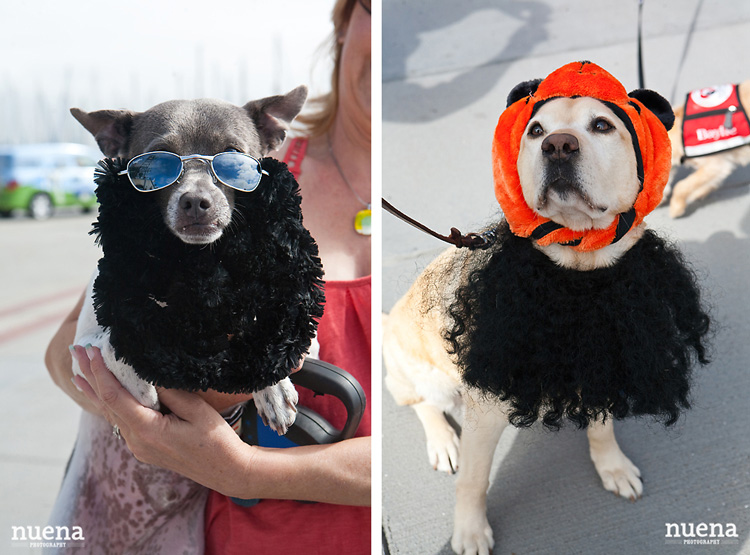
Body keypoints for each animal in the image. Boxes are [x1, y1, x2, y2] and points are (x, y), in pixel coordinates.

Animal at [384, 62, 712, 555]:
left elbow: (602, 428)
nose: (557, 145)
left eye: (603, 125)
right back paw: (442, 442)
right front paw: (469, 530)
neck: (578, 277)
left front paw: (612, 466)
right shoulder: (485, 414)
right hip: (425, 375)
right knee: (418, 401)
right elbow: (474, 481)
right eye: (535, 130)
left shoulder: (603, 365)